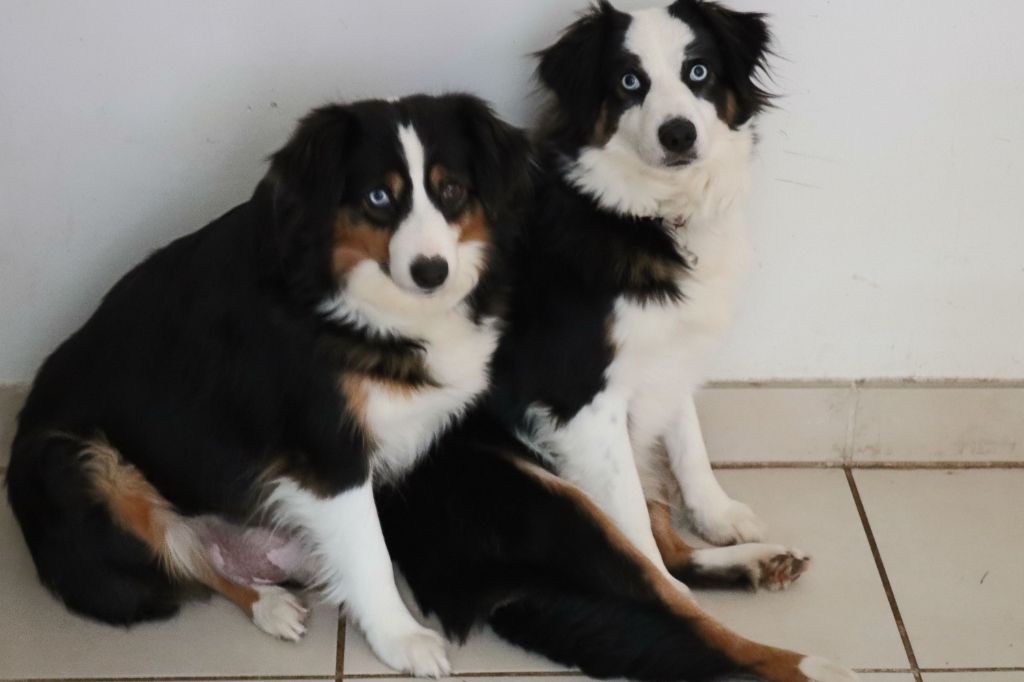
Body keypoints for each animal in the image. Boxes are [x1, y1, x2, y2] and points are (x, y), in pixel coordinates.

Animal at [5, 94, 529, 677]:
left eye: (452, 189)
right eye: (378, 197)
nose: (432, 271)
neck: (352, 294)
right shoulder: (328, 451)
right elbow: (369, 553)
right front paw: (403, 640)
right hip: (78, 465)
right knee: (184, 556)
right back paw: (272, 606)